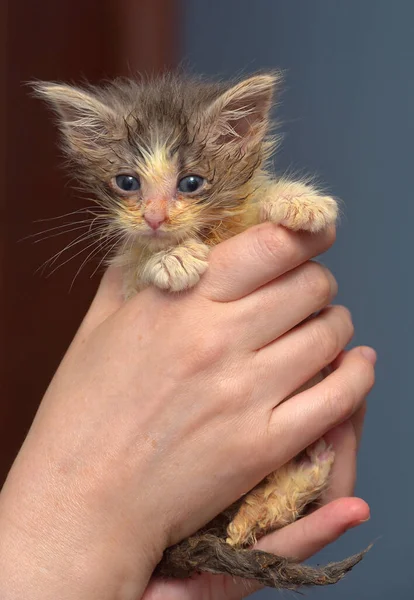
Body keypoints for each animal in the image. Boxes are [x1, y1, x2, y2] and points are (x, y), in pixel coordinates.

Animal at [34, 74, 368, 592]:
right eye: (127, 182)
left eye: (191, 183)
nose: (154, 219)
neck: (209, 233)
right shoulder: (126, 286)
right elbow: (138, 263)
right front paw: (168, 258)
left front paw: (297, 199)